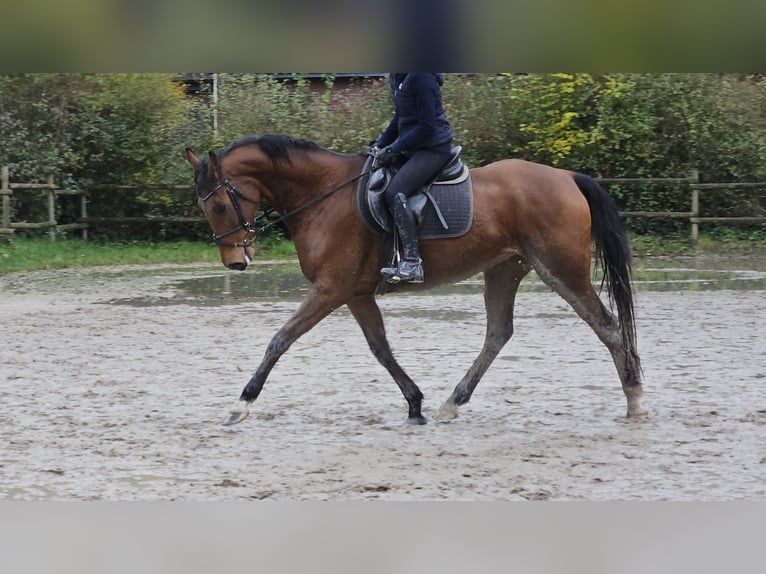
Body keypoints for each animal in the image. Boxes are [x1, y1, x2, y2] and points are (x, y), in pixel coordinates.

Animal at [188, 135, 648, 428]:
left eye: (219, 205)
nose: (235, 262)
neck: (323, 194)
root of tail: (566, 176)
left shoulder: (330, 289)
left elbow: (280, 339)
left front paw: (241, 404)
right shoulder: (354, 293)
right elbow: (380, 348)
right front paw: (414, 403)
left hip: (560, 268)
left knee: (607, 326)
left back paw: (635, 400)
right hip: (505, 268)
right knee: (498, 333)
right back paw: (451, 403)